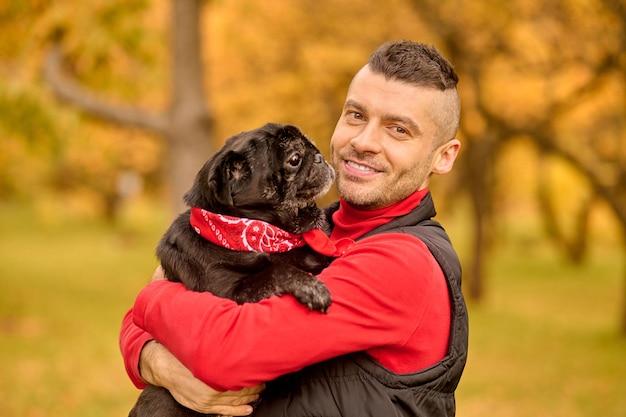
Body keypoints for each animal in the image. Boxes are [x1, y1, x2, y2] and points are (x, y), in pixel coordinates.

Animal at [129, 122, 338, 414]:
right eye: (294, 159)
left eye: (311, 146)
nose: (318, 156)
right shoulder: (233, 294)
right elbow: (277, 271)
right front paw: (310, 287)